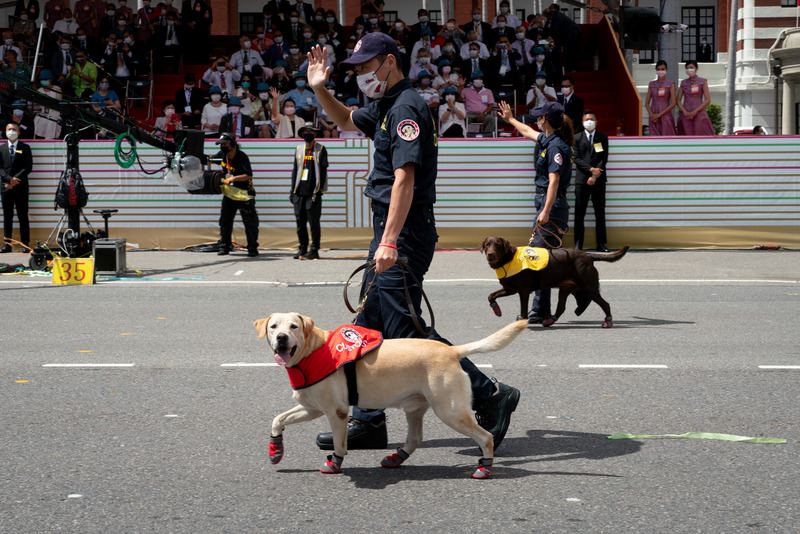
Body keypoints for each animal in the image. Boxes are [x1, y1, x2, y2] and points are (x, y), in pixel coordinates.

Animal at [256, 314, 528, 482]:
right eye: (274, 327)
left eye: (293, 326)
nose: (281, 338)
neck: (310, 353)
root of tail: (451, 350)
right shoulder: (311, 408)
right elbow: (277, 420)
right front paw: (275, 449)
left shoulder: (336, 412)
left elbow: (340, 444)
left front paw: (335, 463)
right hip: (416, 408)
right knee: (415, 438)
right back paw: (398, 457)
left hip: (450, 411)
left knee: (486, 437)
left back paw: (485, 467)